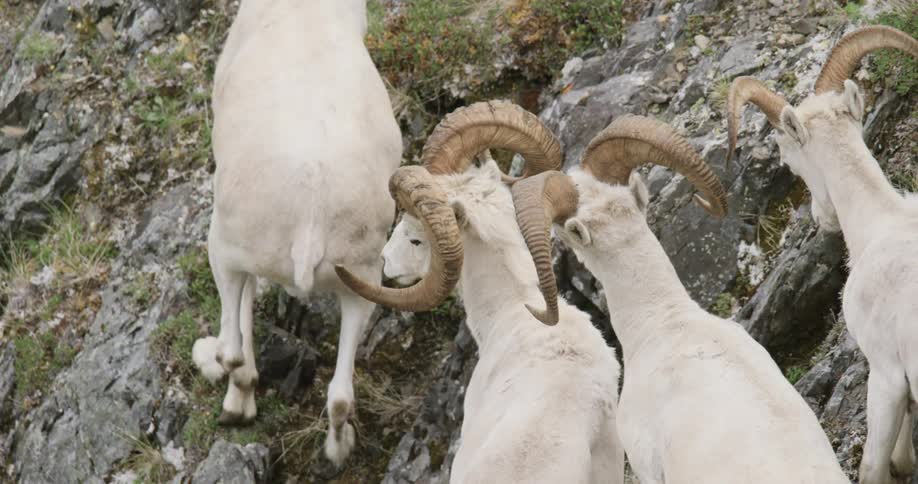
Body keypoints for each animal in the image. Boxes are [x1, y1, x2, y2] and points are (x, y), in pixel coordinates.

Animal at [189, 0, 402, 465]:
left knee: (235, 351)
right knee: (339, 396)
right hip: (362, 282)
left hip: (224, 249)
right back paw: (339, 450)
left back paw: (224, 385)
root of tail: (311, 217)